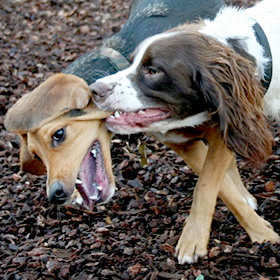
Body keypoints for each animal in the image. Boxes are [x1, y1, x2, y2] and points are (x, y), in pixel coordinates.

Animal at [91, 0, 278, 264]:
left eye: (153, 71)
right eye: (131, 62)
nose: (94, 89)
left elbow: (206, 184)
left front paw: (262, 235)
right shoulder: (183, 141)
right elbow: (216, 184)